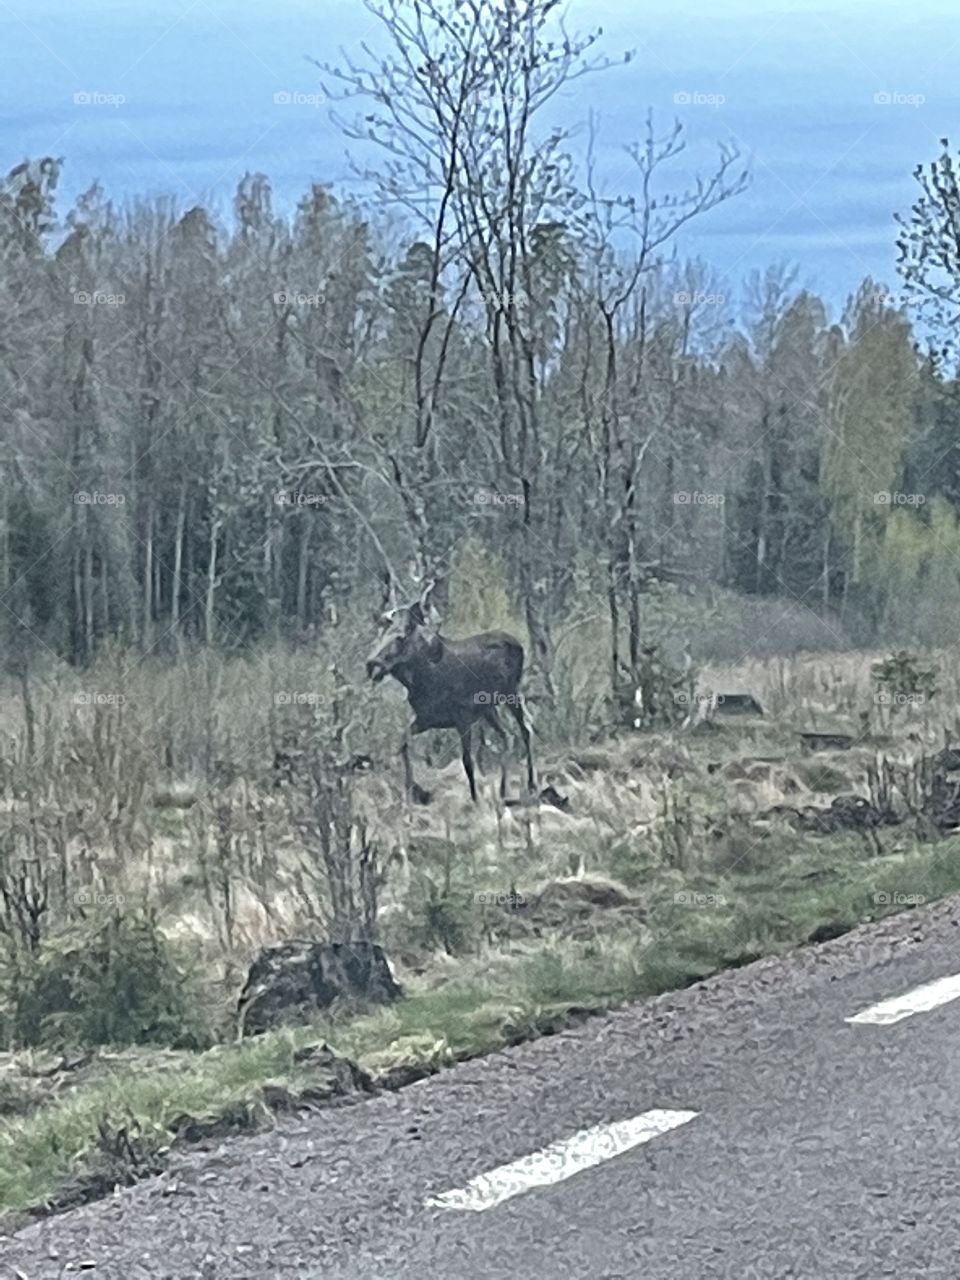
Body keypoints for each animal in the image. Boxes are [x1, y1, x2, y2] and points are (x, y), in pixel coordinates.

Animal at [365, 582, 535, 804]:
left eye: (400, 637)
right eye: (380, 635)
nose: (371, 664)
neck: (422, 680)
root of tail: (518, 643)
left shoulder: (463, 718)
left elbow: (467, 761)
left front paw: (474, 799)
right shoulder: (426, 720)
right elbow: (403, 743)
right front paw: (411, 791)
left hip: (511, 693)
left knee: (525, 730)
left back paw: (531, 784)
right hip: (489, 709)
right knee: (508, 735)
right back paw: (502, 790)